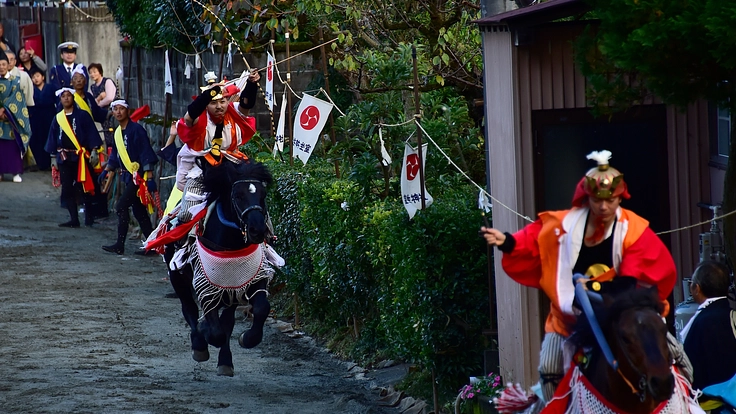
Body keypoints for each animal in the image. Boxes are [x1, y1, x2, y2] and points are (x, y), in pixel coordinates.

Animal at [164, 158, 274, 376]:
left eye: (262, 194)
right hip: (178, 277)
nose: (258, 230)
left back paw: (225, 361)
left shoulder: (250, 279)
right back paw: (199, 343)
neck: (230, 244)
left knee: (227, 320)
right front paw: (204, 332)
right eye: (238, 195)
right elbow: (215, 331)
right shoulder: (206, 285)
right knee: (189, 308)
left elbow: (261, 308)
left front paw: (248, 339)